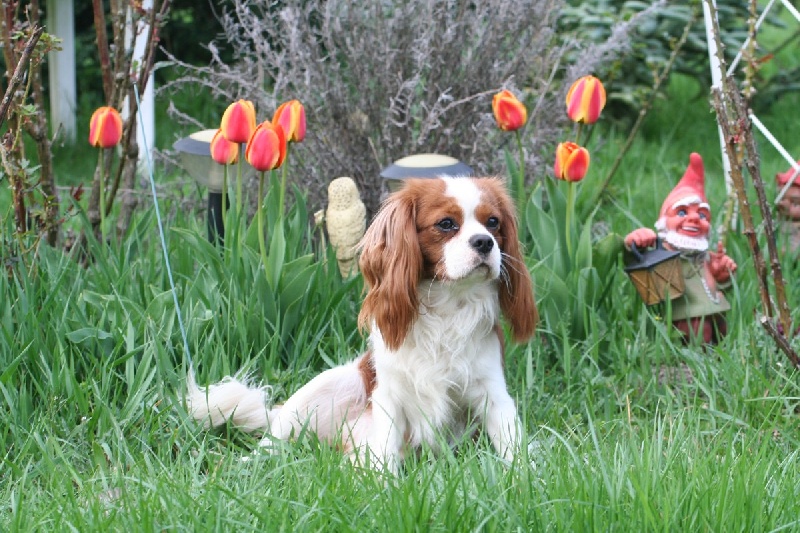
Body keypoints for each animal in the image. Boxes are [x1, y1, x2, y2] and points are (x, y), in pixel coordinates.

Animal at [186, 176, 536, 470]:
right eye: (446, 224)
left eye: (493, 222)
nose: (485, 242)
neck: (448, 305)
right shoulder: (388, 395)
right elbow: (385, 450)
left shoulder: (493, 393)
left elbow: (512, 444)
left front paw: (524, 480)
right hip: (324, 386)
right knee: (273, 440)